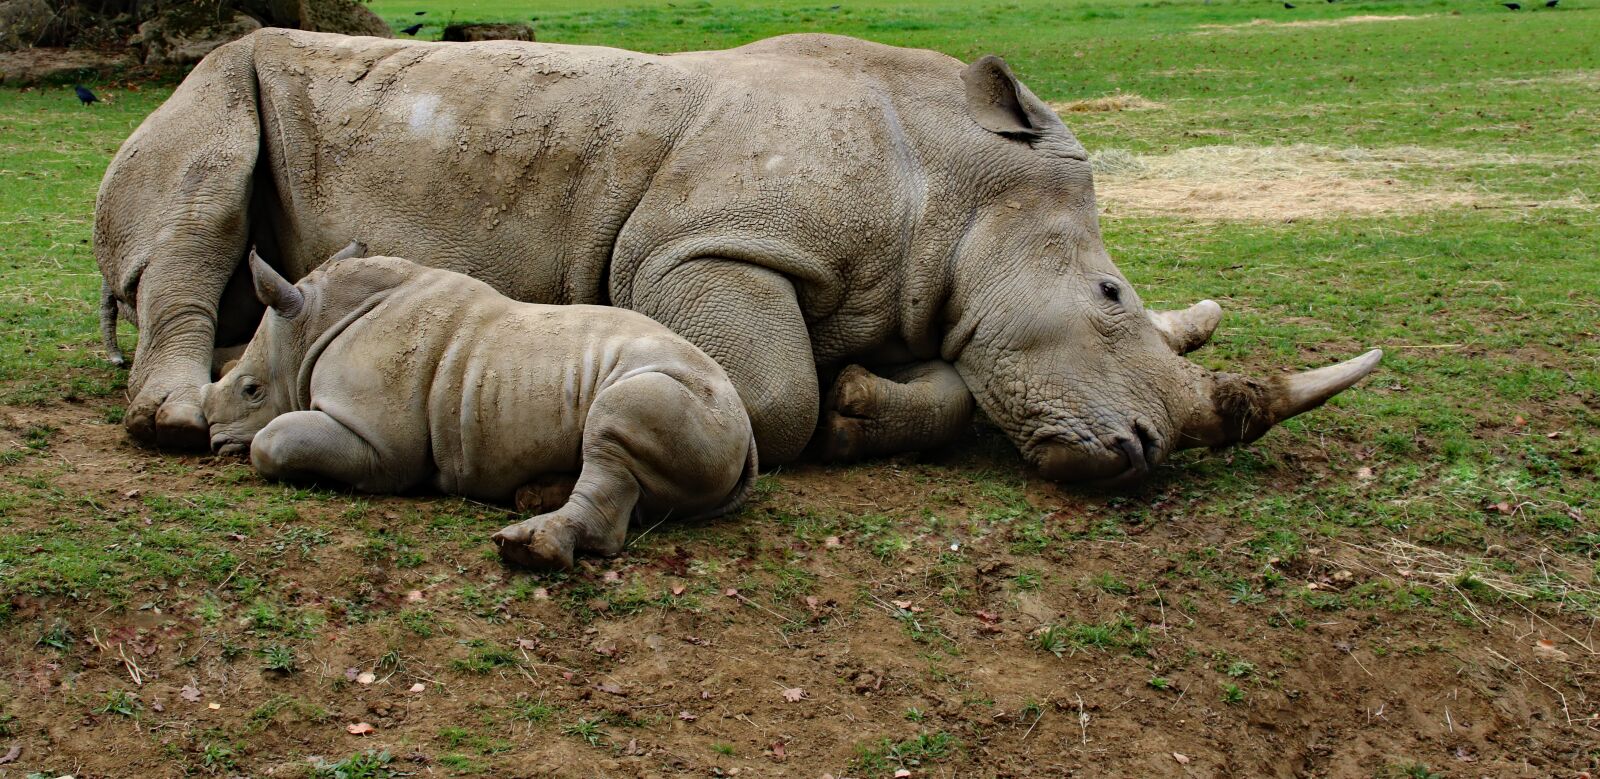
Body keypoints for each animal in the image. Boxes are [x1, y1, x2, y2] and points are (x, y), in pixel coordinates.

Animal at [98, 29, 1381, 482]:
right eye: (1111, 293)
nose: (1139, 454)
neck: (954, 176)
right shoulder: (698, 249)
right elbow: (772, 394)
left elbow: (943, 381)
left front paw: (866, 409)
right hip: (210, 84)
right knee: (200, 193)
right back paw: (171, 421)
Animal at [201, 245, 757, 568]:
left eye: (251, 390)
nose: (212, 438)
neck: (314, 323)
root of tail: (747, 426)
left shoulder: (382, 446)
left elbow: (273, 439)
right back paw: (533, 498)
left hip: (686, 395)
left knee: (614, 424)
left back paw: (525, 548)